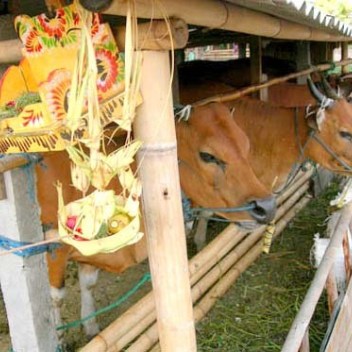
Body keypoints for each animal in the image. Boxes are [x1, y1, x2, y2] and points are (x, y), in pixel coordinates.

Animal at [41, 102, 276, 338]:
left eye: (246, 146)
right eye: (208, 156)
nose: (268, 207)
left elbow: (88, 284)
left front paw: (90, 327)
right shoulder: (54, 249)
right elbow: (54, 298)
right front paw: (58, 336)